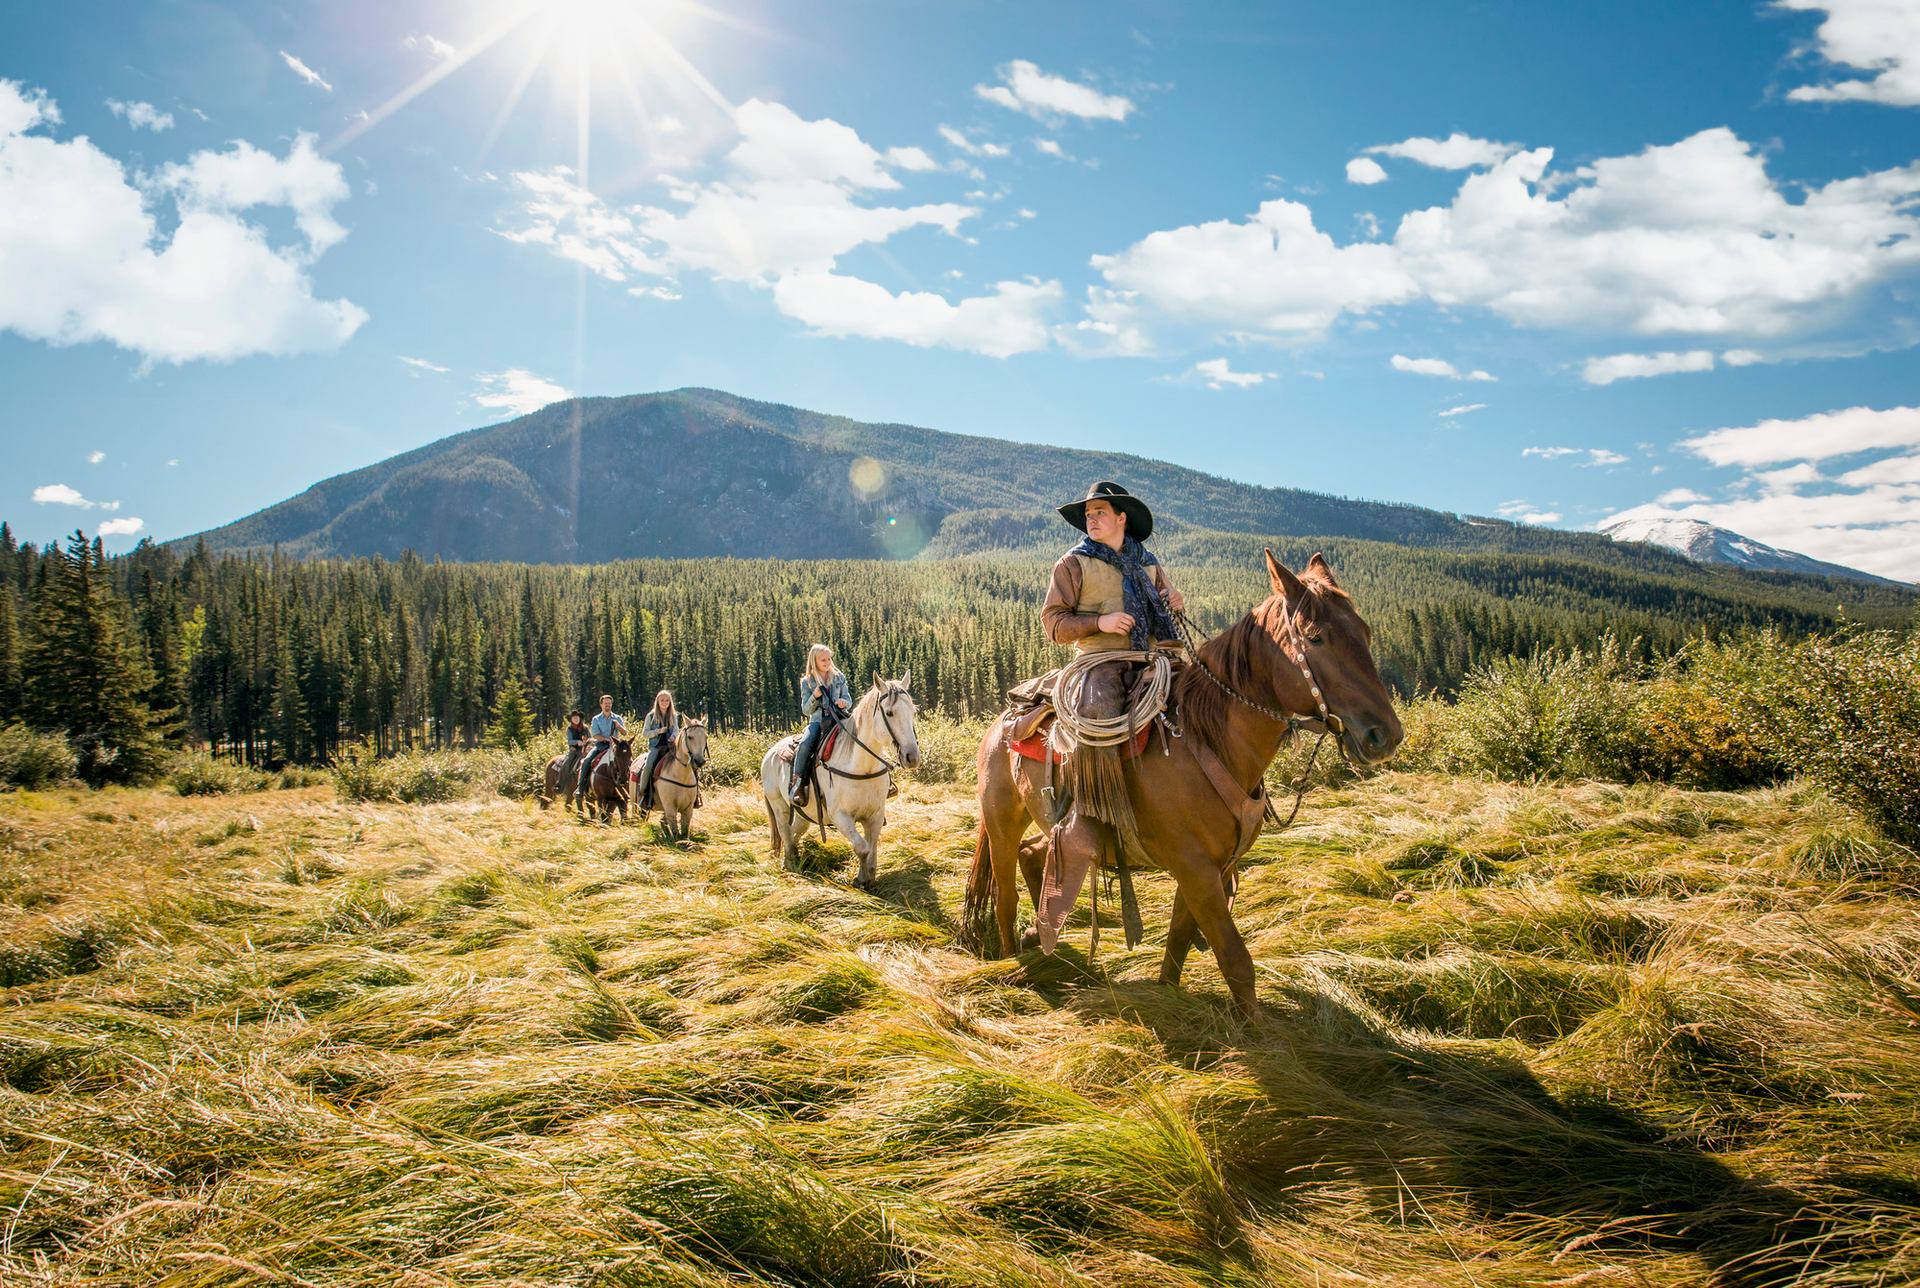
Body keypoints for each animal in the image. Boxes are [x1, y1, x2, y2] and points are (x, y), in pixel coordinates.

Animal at [760, 671, 917, 890]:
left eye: (913, 711)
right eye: (890, 712)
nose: (912, 757)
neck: (861, 766)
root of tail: (770, 753)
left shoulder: (876, 815)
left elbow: (872, 848)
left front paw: (869, 878)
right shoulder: (840, 816)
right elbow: (862, 847)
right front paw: (860, 880)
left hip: (803, 814)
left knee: (794, 832)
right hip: (778, 806)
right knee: (785, 832)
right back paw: (791, 865)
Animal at [967, 548, 1405, 1021]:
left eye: (1364, 631)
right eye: (1316, 637)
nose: (1385, 735)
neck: (1207, 740)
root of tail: (1002, 719)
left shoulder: (1212, 867)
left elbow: (1178, 940)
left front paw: (1169, 998)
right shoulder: (1196, 869)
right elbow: (1235, 960)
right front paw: (1259, 1032)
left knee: (1038, 854)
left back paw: (1041, 938)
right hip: (1002, 824)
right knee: (1005, 897)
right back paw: (1013, 962)